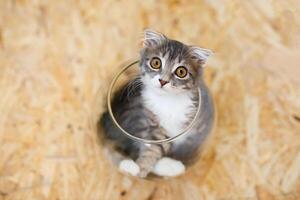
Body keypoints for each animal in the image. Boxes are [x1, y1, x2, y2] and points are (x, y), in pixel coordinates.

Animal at [102, 30, 214, 178]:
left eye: (181, 71)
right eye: (156, 63)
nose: (163, 81)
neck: (168, 101)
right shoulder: (148, 123)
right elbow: (152, 148)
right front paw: (140, 168)